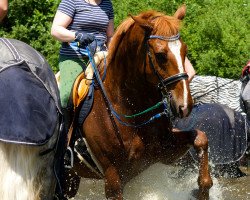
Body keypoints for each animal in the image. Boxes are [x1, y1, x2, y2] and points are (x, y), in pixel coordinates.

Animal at [65, 5, 213, 200]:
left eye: (185, 51)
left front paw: (203, 189)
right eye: (160, 55)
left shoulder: (164, 152)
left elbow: (201, 138)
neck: (127, 106)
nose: (185, 105)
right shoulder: (113, 177)